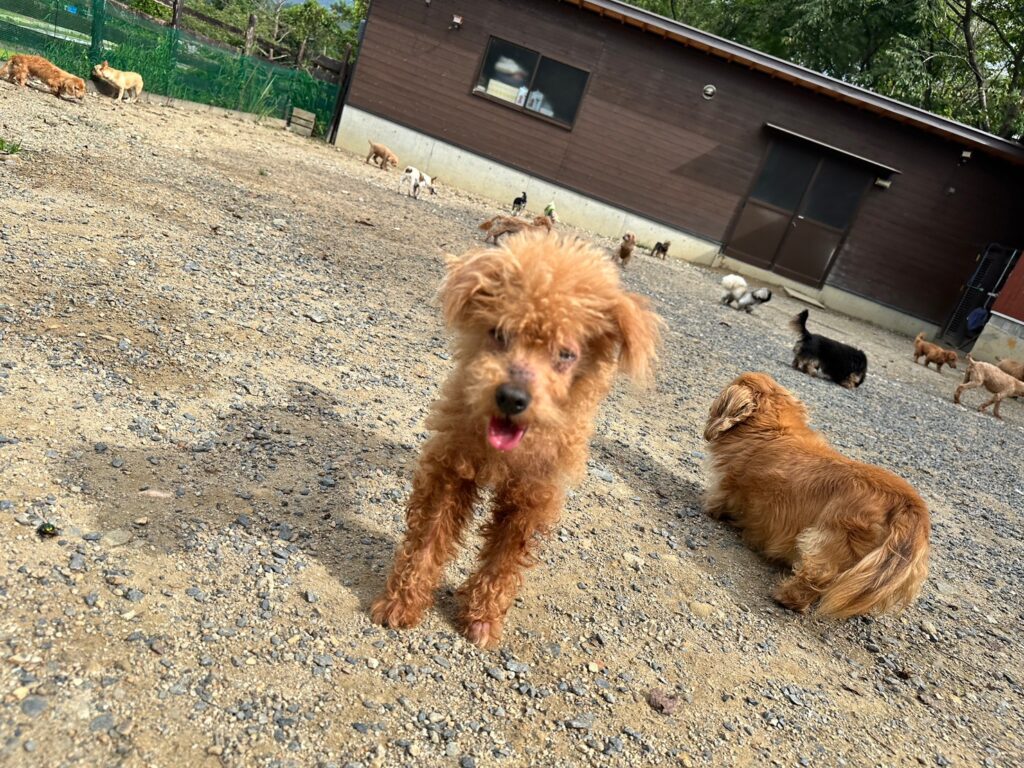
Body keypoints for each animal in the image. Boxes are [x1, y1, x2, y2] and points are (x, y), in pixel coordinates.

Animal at [370, 231, 661, 649]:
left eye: (566, 354)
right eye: (499, 334)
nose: (512, 397)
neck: (505, 452)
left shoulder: (531, 495)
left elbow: (504, 560)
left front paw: (482, 618)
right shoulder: (452, 468)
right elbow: (427, 539)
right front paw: (401, 602)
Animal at [703, 372, 930, 617]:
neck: (771, 429)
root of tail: (909, 504)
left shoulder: (728, 482)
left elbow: (720, 498)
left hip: (830, 538)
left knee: (819, 574)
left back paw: (786, 596)